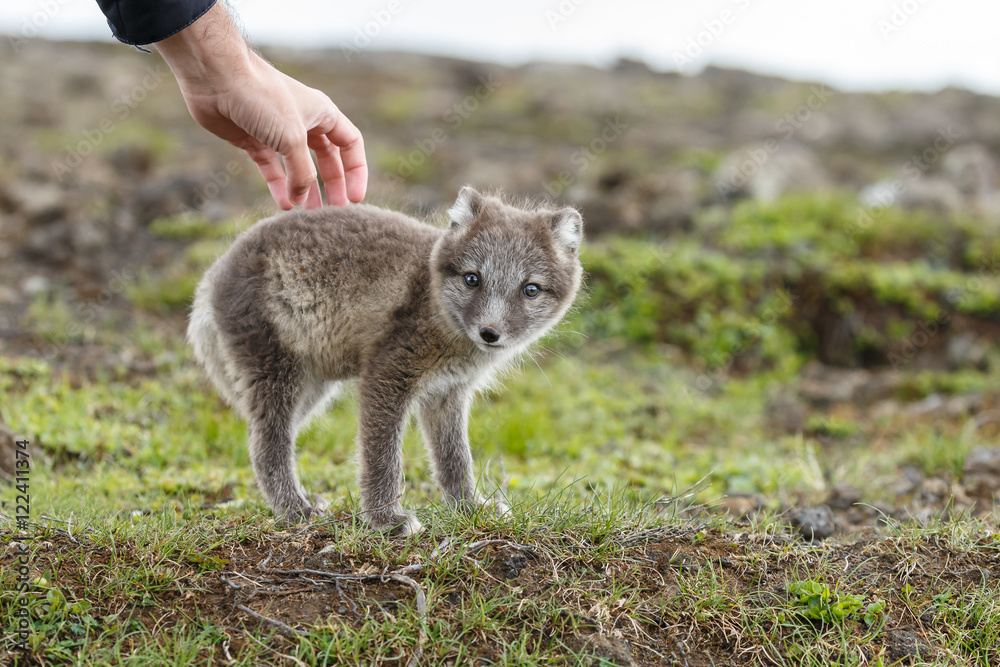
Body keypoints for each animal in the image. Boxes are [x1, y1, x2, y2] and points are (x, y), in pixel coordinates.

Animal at [187, 187, 584, 535]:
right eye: (473, 279)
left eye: (530, 289)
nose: (490, 332)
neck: (434, 302)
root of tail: (213, 275)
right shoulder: (386, 373)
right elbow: (381, 457)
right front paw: (387, 520)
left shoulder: (447, 392)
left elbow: (455, 459)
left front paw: (470, 509)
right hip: (277, 373)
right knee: (266, 447)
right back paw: (296, 510)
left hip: (312, 389)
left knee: (261, 439)